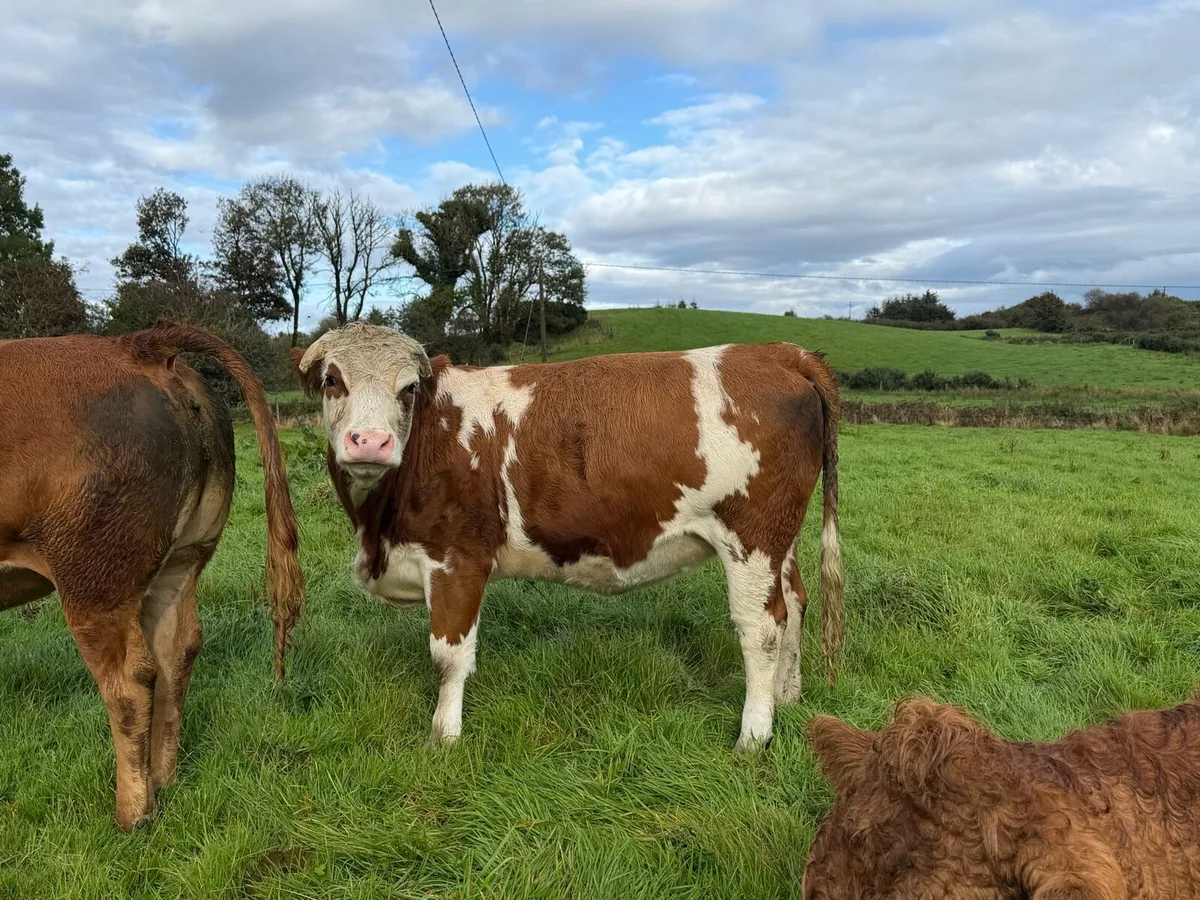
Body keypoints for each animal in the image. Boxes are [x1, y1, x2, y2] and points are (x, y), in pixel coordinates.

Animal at [0, 321, 303, 831]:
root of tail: (137, 345)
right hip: (183, 557)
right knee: (177, 651)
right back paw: (164, 779)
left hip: (94, 577)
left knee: (129, 681)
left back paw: (134, 813)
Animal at [293, 321, 844, 751]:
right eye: (332, 380)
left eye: (407, 388)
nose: (370, 442)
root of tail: (780, 353)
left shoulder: (458, 558)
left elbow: (449, 658)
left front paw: (443, 738)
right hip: (780, 538)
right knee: (795, 602)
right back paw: (787, 694)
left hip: (751, 537)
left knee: (763, 627)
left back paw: (754, 734)